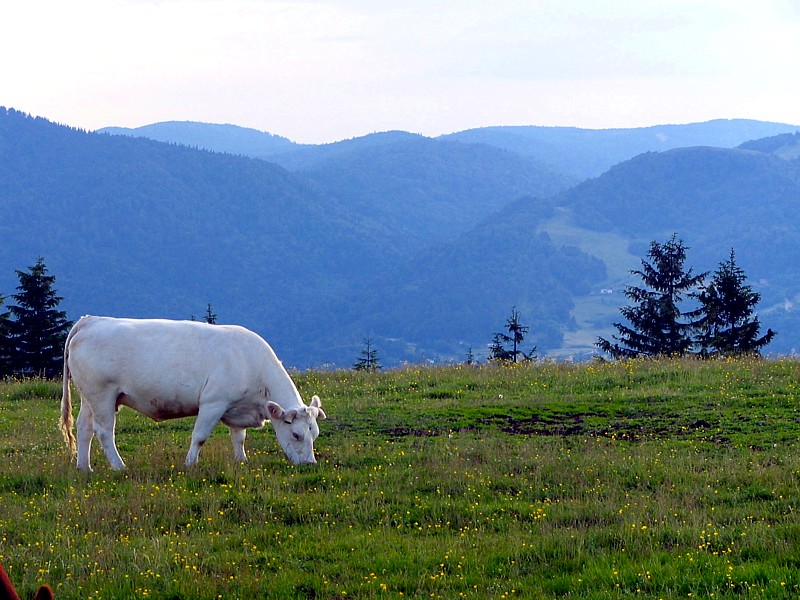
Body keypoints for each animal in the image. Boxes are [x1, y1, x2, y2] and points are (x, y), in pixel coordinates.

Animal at [58, 316, 328, 472]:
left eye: (314, 433)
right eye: (296, 434)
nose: (309, 464)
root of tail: (90, 320)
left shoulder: (236, 406)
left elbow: (239, 438)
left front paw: (241, 461)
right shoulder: (213, 403)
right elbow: (199, 437)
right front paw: (190, 464)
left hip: (89, 397)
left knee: (84, 428)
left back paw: (85, 468)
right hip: (102, 395)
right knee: (104, 432)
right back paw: (119, 467)